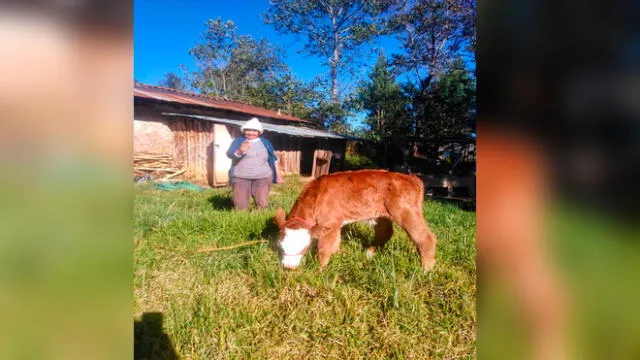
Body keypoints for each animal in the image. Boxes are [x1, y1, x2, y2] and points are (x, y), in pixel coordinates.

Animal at [272, 170, 438, 272]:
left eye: (304, 248)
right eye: (280, 247)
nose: (288, 267)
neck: (316, 195)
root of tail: (411, 177)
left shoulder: (329, 222)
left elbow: (323, 249)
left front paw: (319, 270)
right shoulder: (335, 224)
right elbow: (334, 243)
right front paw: (335, 254)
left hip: (406, 212)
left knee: (426, 238)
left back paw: (425, 270)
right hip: (381, 215)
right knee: (386, 233)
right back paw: (369, 253)